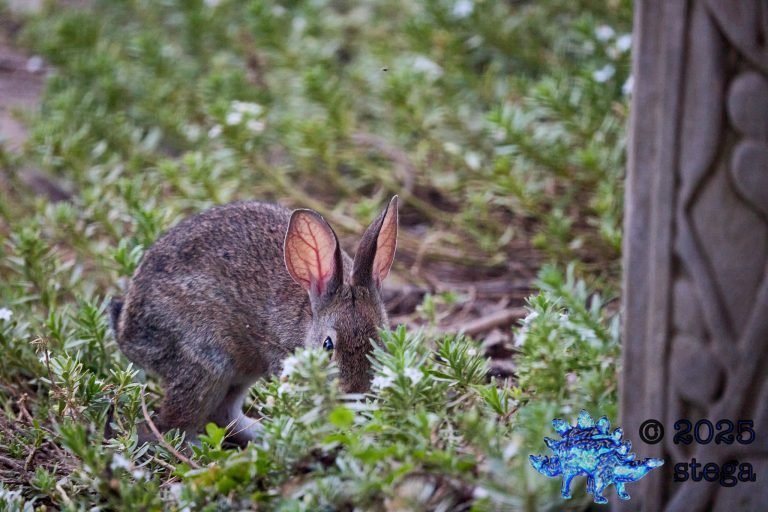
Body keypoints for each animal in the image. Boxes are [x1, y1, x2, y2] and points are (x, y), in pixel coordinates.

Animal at [111, 196, 398, 446]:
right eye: (328, 346)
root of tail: (126, 332)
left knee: (223, 414)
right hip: (205, 362)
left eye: (382, 342)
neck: (308, 317)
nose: (356, 392)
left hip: (239, 373)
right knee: (174, 425)